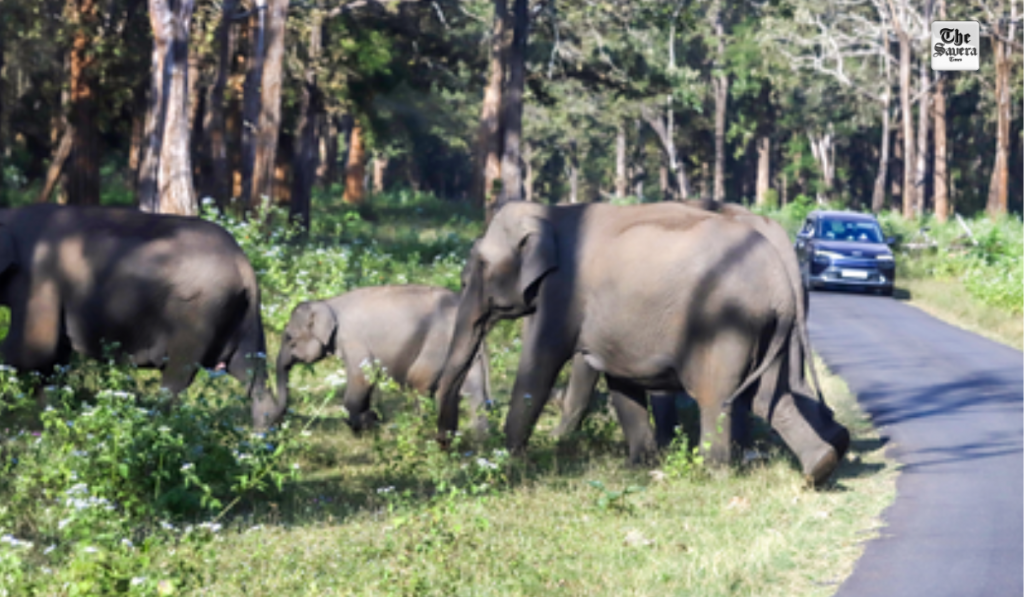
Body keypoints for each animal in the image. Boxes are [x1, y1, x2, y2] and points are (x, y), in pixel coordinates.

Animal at [0, 204, 280, 427]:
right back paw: (260, 439)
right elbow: (52, 357)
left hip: (199, 314)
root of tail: (245, 266)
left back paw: (155, 426)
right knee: (250, 374)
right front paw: (49, 416)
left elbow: (35, 349)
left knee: (177, 378)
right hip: (244, 317)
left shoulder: (39, 278)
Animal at [276, 285, 493, 436]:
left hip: (439, 344)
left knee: (420, 384)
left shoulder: (352, 338)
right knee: (472, 394)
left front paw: (364, 424)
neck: (327, 302)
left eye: (289, 337)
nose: (279, 422)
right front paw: (368, 422)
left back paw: (420, 432)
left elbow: (363, 377)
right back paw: (477, 442)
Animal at [432, 201, 850, 485]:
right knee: (771, 398)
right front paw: (639, 464)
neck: (550, 212)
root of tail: (782, 279)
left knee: (717, 397)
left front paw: (512, 460)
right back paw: (821, 466)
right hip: (772, 328)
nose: (448, 446)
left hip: (726, 326)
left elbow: (541, 363)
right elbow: (619, 380)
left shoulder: (562, 294)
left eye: (480, 267)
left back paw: (711, 473)